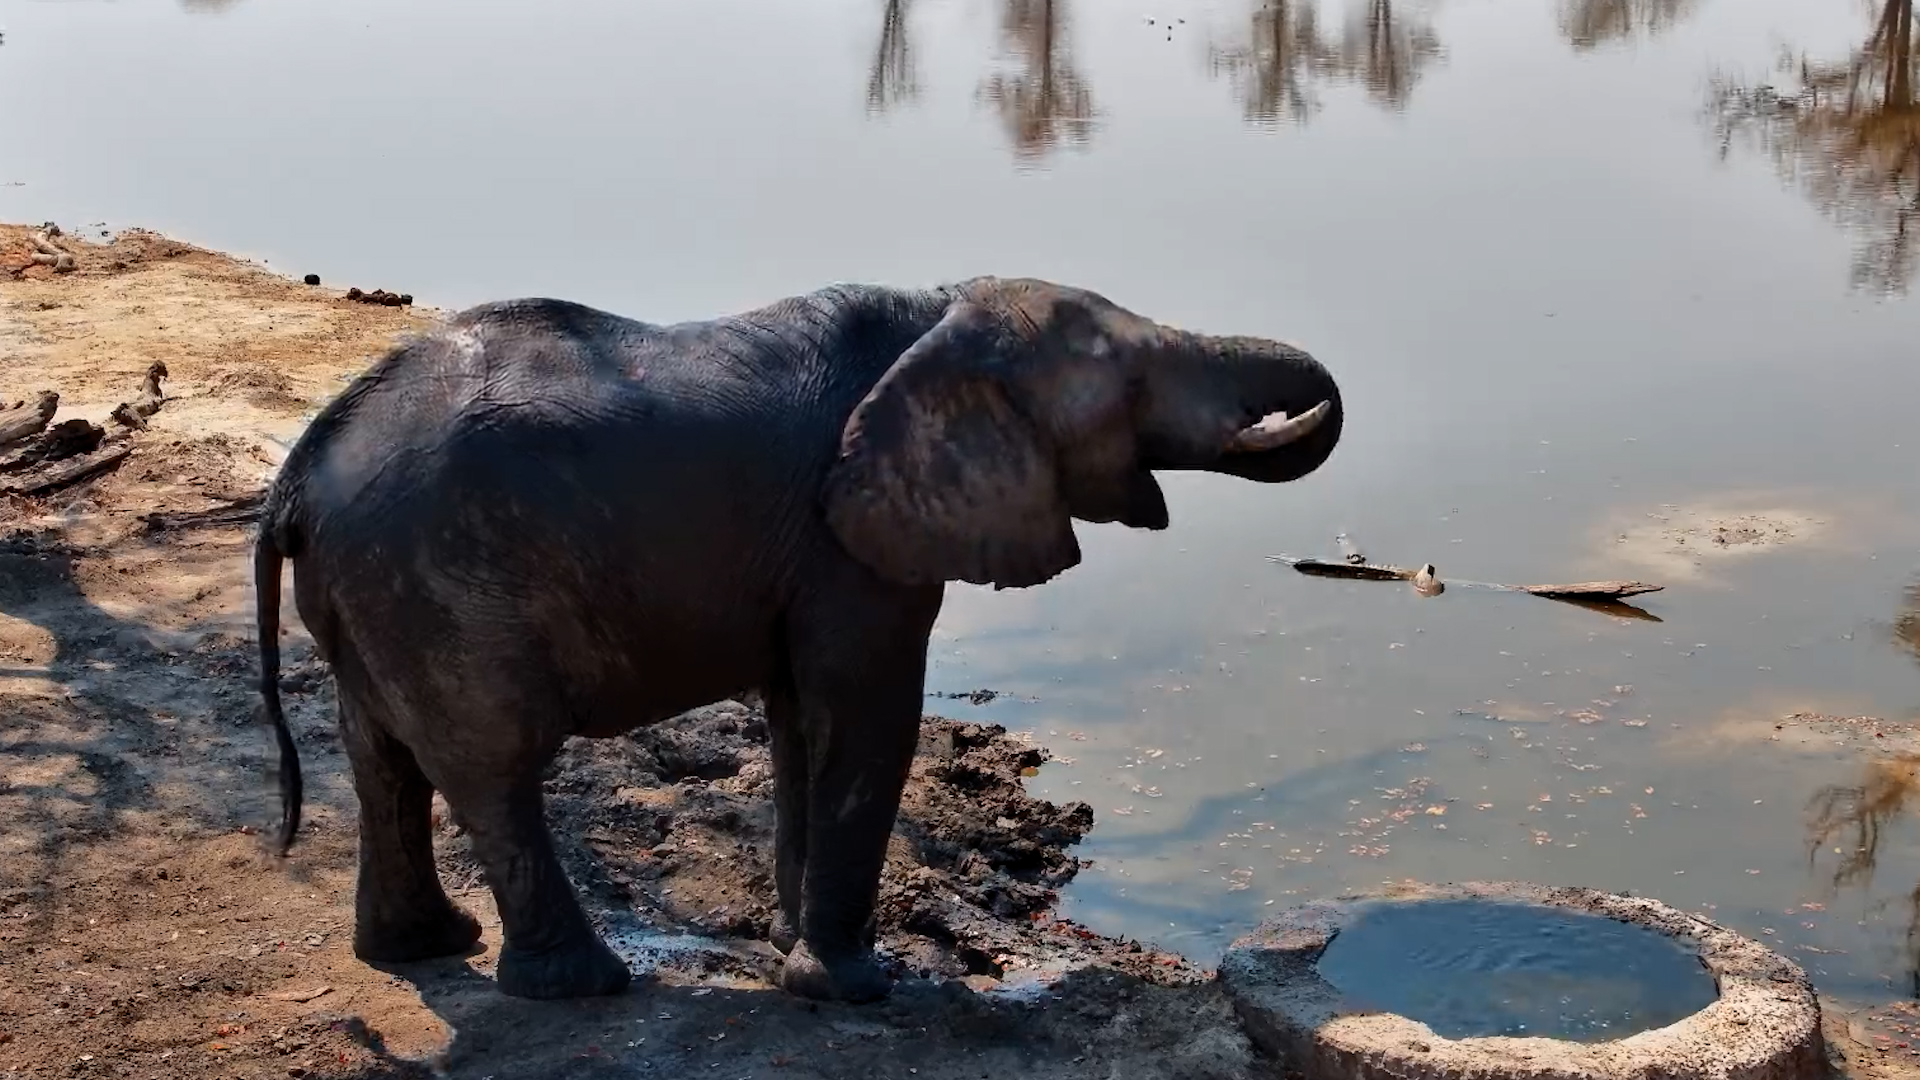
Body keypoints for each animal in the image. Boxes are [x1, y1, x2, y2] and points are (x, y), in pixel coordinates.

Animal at [252, 276, 1343, 1004]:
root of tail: (300, 471)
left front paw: (792, 954)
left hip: (374, 593)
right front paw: (858, 988)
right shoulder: (848, 543)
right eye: (1129, 376)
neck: (938, 310)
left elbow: (797, 724)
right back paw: (581, 984)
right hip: (439, 581)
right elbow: (867, 715)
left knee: (382, 758)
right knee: (492, 765)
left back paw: (424, 949)